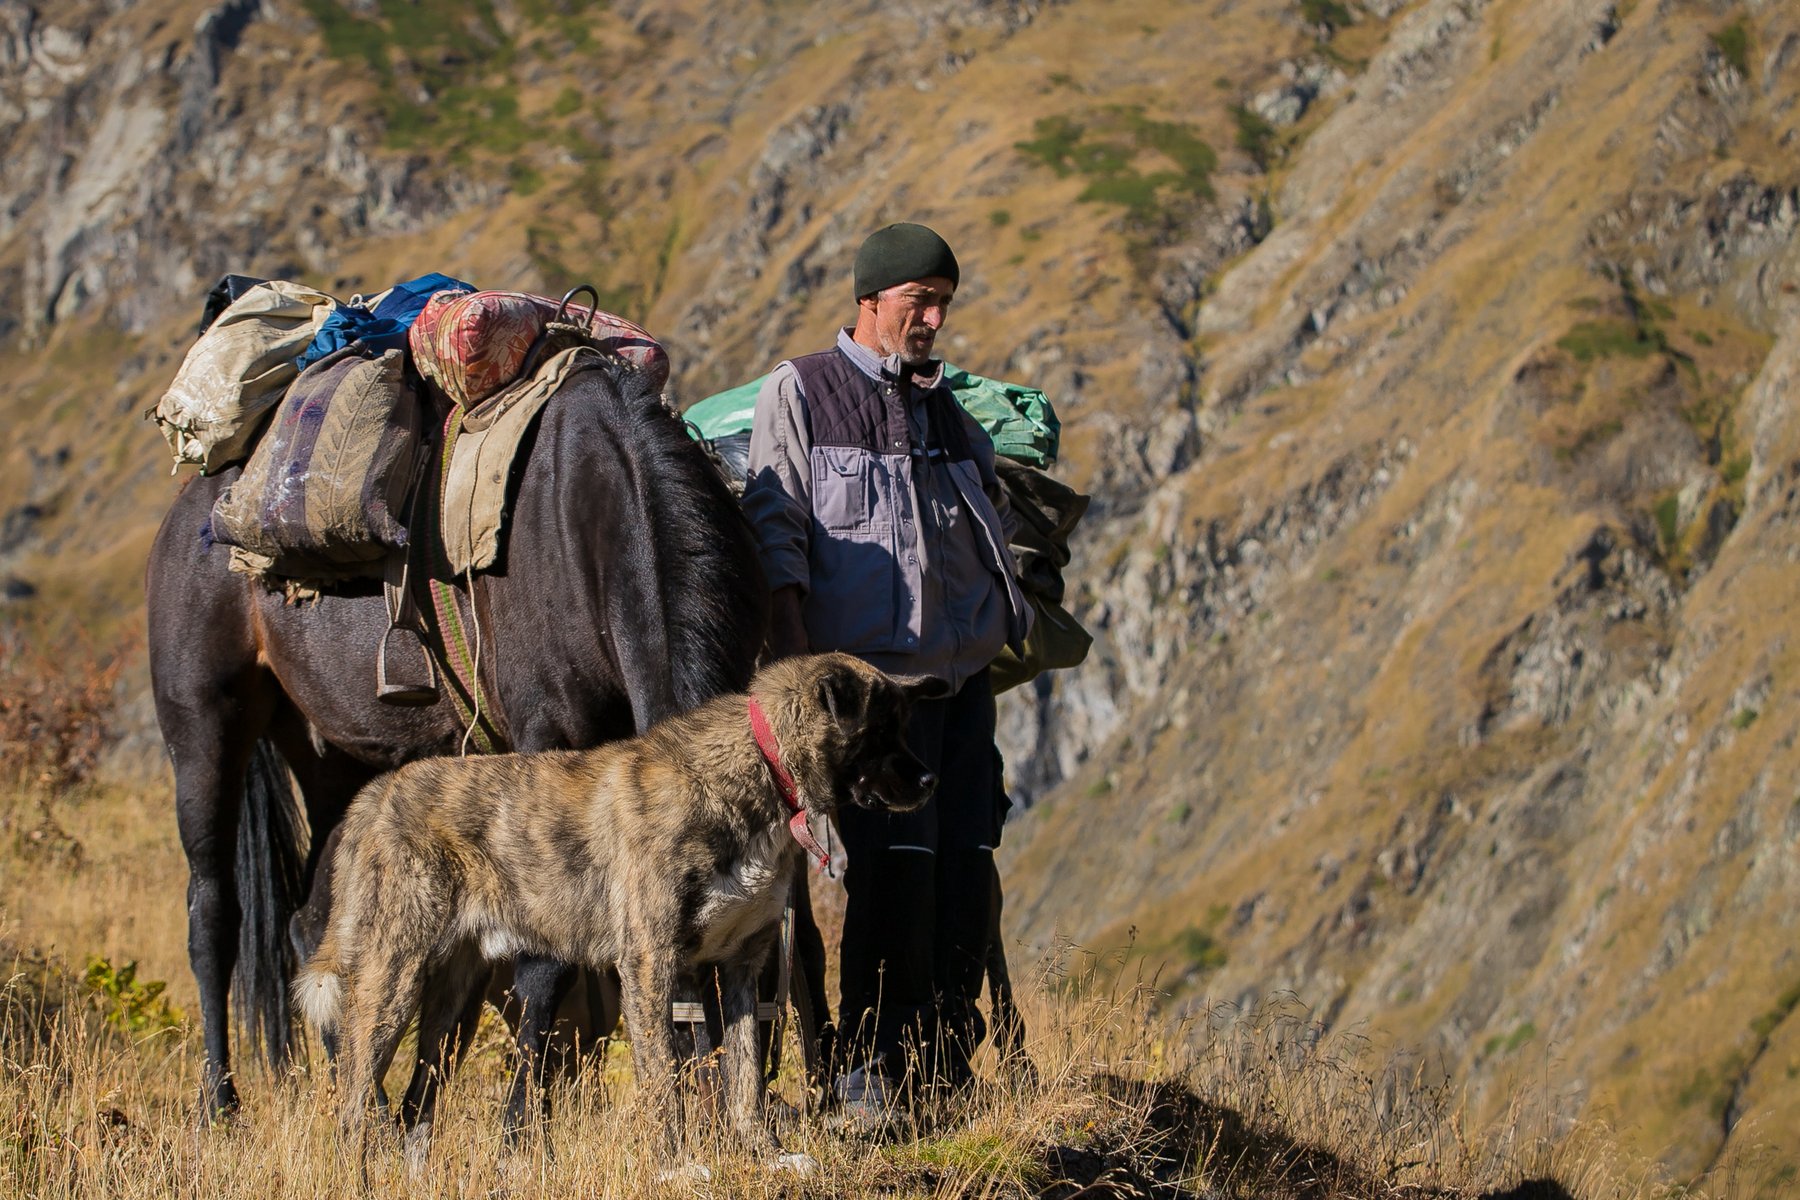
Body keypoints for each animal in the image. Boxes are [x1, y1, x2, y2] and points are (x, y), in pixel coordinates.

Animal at [297, 658, 936, 1173]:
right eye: (882, 730)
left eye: (905, 727)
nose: (931, 779)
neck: (758, 766)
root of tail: (376, 795)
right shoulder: (651, 965)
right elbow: (663, 1085)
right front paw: (677, 1168)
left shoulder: (740, 970)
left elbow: (746, 1080)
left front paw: (766, 1156)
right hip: (393, 985)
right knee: (355, 1106)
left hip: (452, 1010)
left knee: (414, 1108)